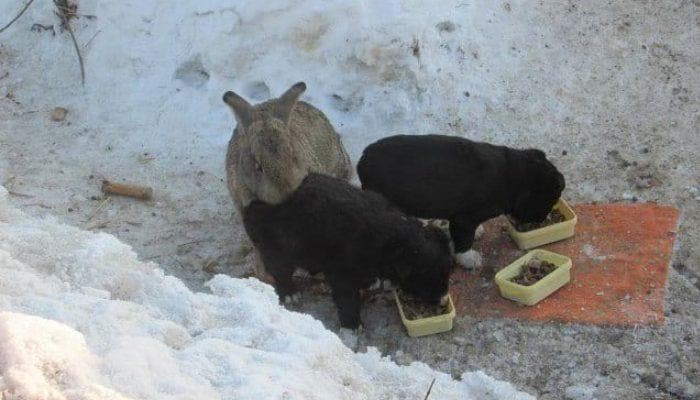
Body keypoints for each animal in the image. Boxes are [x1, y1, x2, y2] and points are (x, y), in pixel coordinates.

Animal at [245, 172, 454, 328]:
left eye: (448, 274)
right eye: (426, 278)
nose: (444, 300)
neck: (391, 239)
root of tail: (253, 203)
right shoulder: (341, 272)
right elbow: (347, 298)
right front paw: (353, 325)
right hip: (275, 248)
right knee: (280, 272)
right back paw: (289, 294)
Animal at [358, 134, 568, 253]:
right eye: (548, 201)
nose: (541, 220)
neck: (513, 175)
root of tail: (362, 162)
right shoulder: (464, 219)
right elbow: (463, 242)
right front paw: (470, 258)